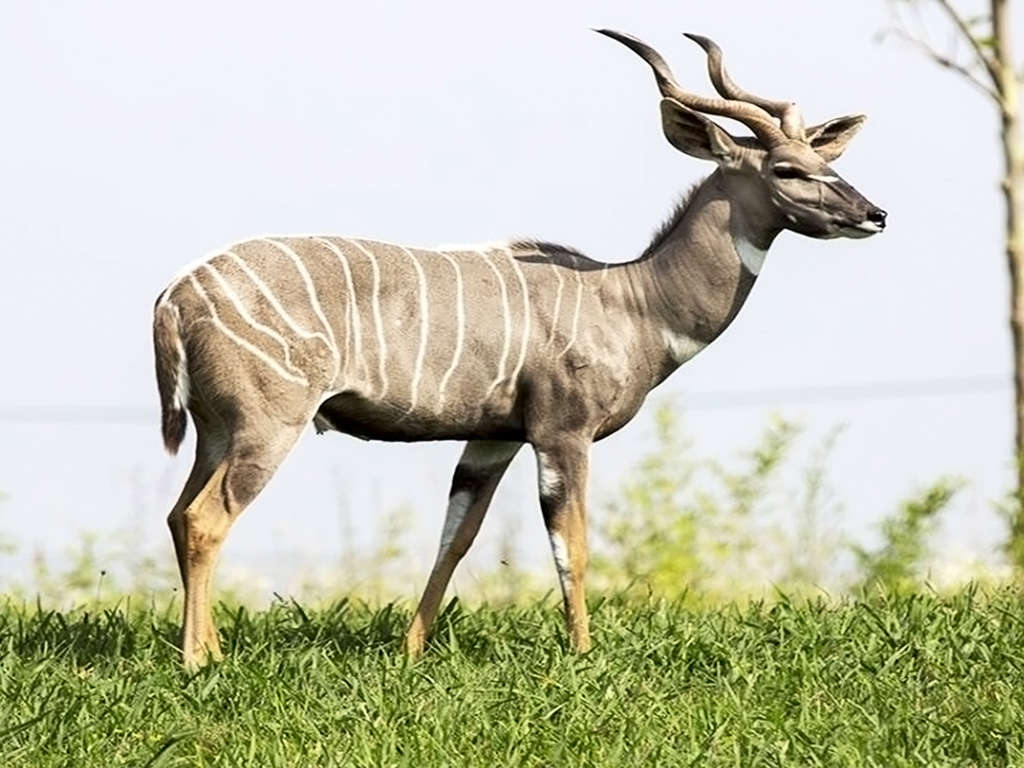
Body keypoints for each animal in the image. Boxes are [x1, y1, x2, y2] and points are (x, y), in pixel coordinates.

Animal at [153, 30, 888, 667]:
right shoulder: (563, 431)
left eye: (828, 162)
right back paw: (198, 663)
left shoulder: (494, 438)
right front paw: (584, 655)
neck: (632, 300)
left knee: (179, 514)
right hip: (269, 425)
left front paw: (411, 651)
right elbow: (572, 544)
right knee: (208, 519)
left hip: (217, 431)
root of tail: (175, 297)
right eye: (789, 170)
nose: (875, 214)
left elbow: (455, 538)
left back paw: (210, 648)